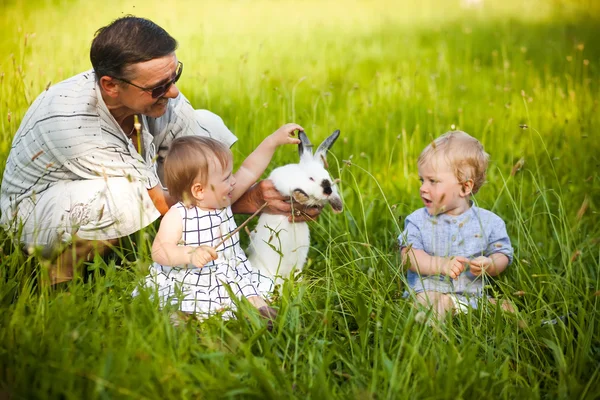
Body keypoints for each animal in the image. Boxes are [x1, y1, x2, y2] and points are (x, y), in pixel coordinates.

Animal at [247, 130, 342, 292]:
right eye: (311, 178)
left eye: (328, 178)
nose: (327, 190)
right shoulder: (281, 181)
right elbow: (292, 189)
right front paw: (301, 196)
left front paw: (338, 206)